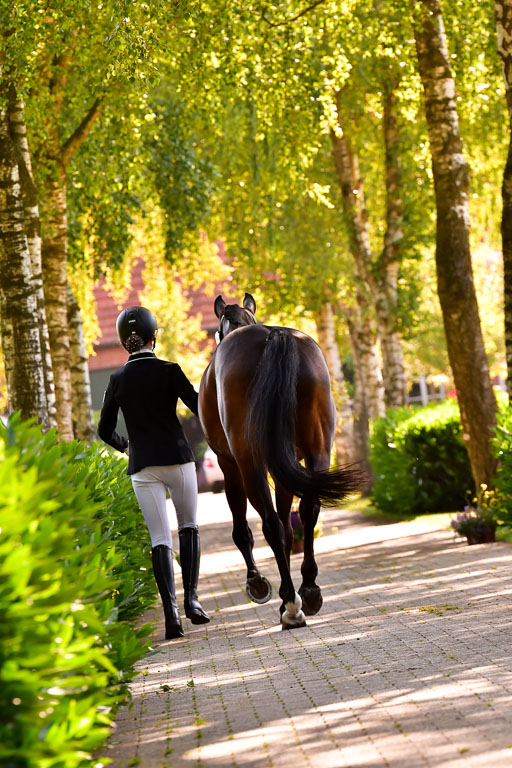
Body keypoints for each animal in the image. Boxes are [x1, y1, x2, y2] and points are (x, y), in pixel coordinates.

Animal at [198, 293, 360, 629]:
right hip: (318, 450)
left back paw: (291, 604)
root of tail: (275, 336)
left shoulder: (229, 465)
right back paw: (308, 590)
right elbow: (289, 529)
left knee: (270, 523)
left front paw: (257, 582)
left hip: (249, 462)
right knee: (308, 510)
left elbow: (244, 529)